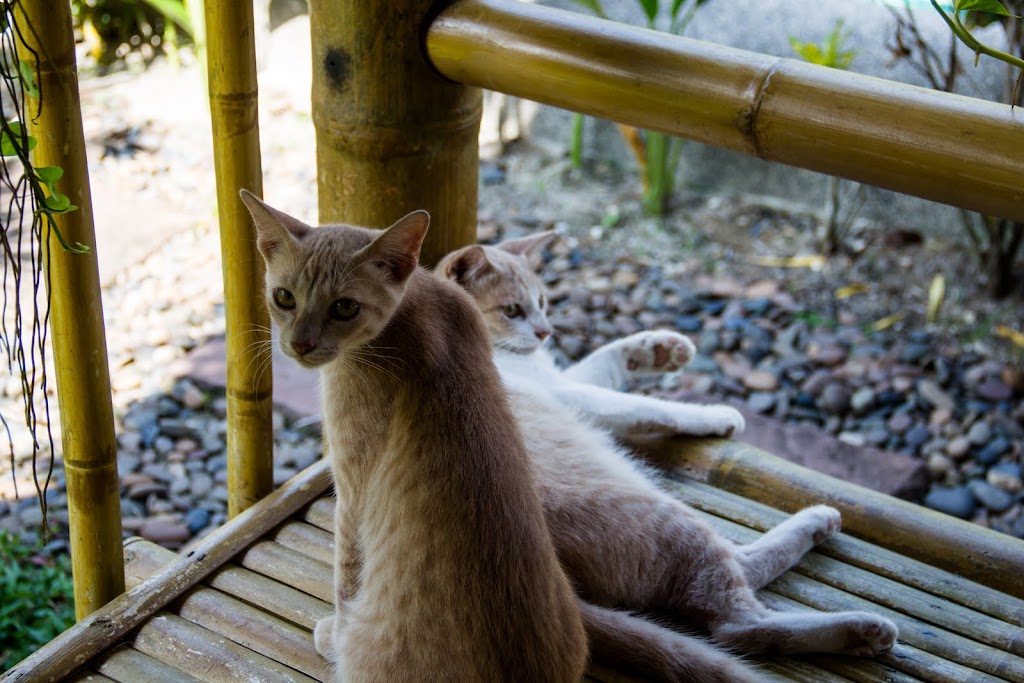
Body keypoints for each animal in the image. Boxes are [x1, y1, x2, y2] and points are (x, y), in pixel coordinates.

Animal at [237, 193, 585, 683]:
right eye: (283, 297)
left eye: (345, 307)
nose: (300, 345)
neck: (414, 304)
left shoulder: (352, 492)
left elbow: (346, 577)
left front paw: (335, 638)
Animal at [438, 233, 897, 679]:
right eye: (512, 310)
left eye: (543, 302)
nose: (544, 333)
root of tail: (561, 589)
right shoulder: (569, 393)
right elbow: (645, 405)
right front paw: (715, 414)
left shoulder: (563, 377)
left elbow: (603, 362)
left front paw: (657, 349)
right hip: (663, 515)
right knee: (737, 622)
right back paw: (862, 627)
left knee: (740, 571)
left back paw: (819, 524)